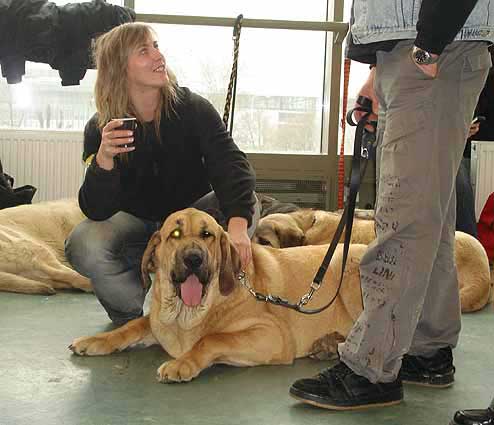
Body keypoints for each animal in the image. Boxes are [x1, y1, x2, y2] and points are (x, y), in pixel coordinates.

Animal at [69, 207, 364, 382]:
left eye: (207, 234)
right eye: (175, 233)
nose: (194, 258)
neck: (187, 314)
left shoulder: (272, 335)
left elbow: (211, 339)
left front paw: (182, 363)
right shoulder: (158, 322)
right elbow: (131, 326)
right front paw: (95, 340)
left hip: (351, 274)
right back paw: (329, 345)